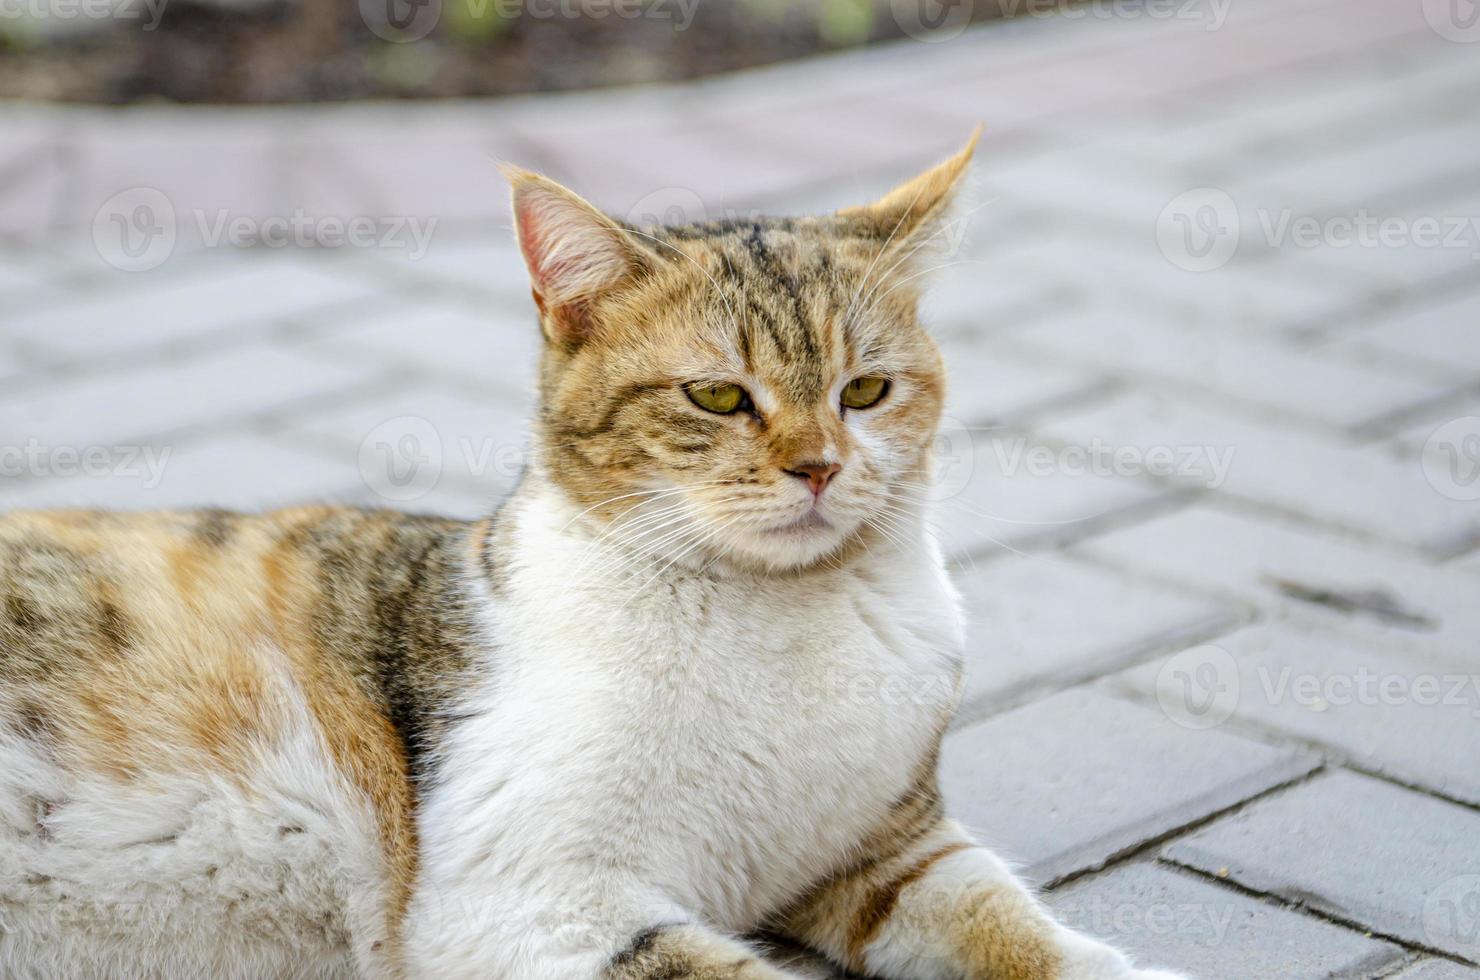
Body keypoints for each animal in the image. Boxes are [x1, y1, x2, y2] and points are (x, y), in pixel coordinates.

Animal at [0, 136, 1178, 980]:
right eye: (718, 395)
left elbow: (1012, 923)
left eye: (868, 390)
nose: (819, 465)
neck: (777, 618)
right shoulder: (524, 899)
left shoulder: (890, 852)